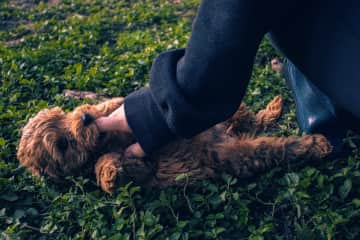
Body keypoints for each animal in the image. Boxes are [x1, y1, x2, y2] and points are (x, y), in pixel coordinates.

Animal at [16, 95, 332, 193]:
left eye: (62, 115)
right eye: (62, 145)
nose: (84, 119)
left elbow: (115, 106)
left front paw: (105, 108)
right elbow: (112, 166)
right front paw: (108, 171)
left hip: (225, 122)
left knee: (246, 117)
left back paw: (270, 109)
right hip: (236, 155)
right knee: (273, 146)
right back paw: (317, 143)